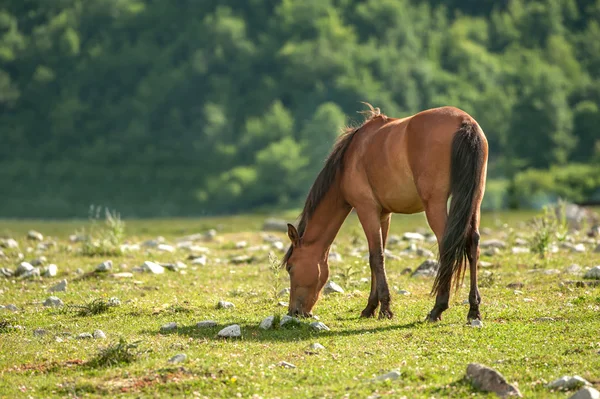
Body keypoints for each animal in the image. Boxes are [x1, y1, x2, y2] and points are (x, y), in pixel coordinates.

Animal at [282, 104, 488, 322]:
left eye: (290, 267)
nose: (294, 312)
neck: (349, 159)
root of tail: (465, 122)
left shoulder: (366, 209)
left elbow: (376, 257)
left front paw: (384, 308)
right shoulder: (383, 215)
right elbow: (377, 256)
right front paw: (371, 307)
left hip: (435, 205)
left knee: (447, 245)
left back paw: (437, 309)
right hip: (474, 199)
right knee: (472, 243)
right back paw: (474, 309)